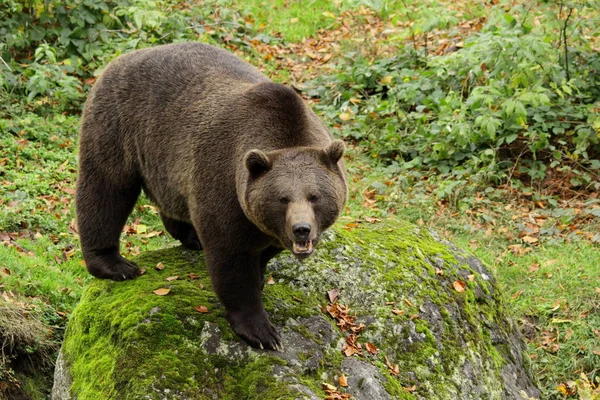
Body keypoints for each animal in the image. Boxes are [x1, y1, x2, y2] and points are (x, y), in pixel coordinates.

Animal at [76, 42, 346, 350]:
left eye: (315, 196)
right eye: (283, 198)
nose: (302, 230)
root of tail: (123, 58)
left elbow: (263, 251)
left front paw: (261, 276)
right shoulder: (224, 183)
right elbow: (230, 260)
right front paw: (262, 332)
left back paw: (190, 235)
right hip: (118, 123)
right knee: (106, 189)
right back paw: (114, 264)